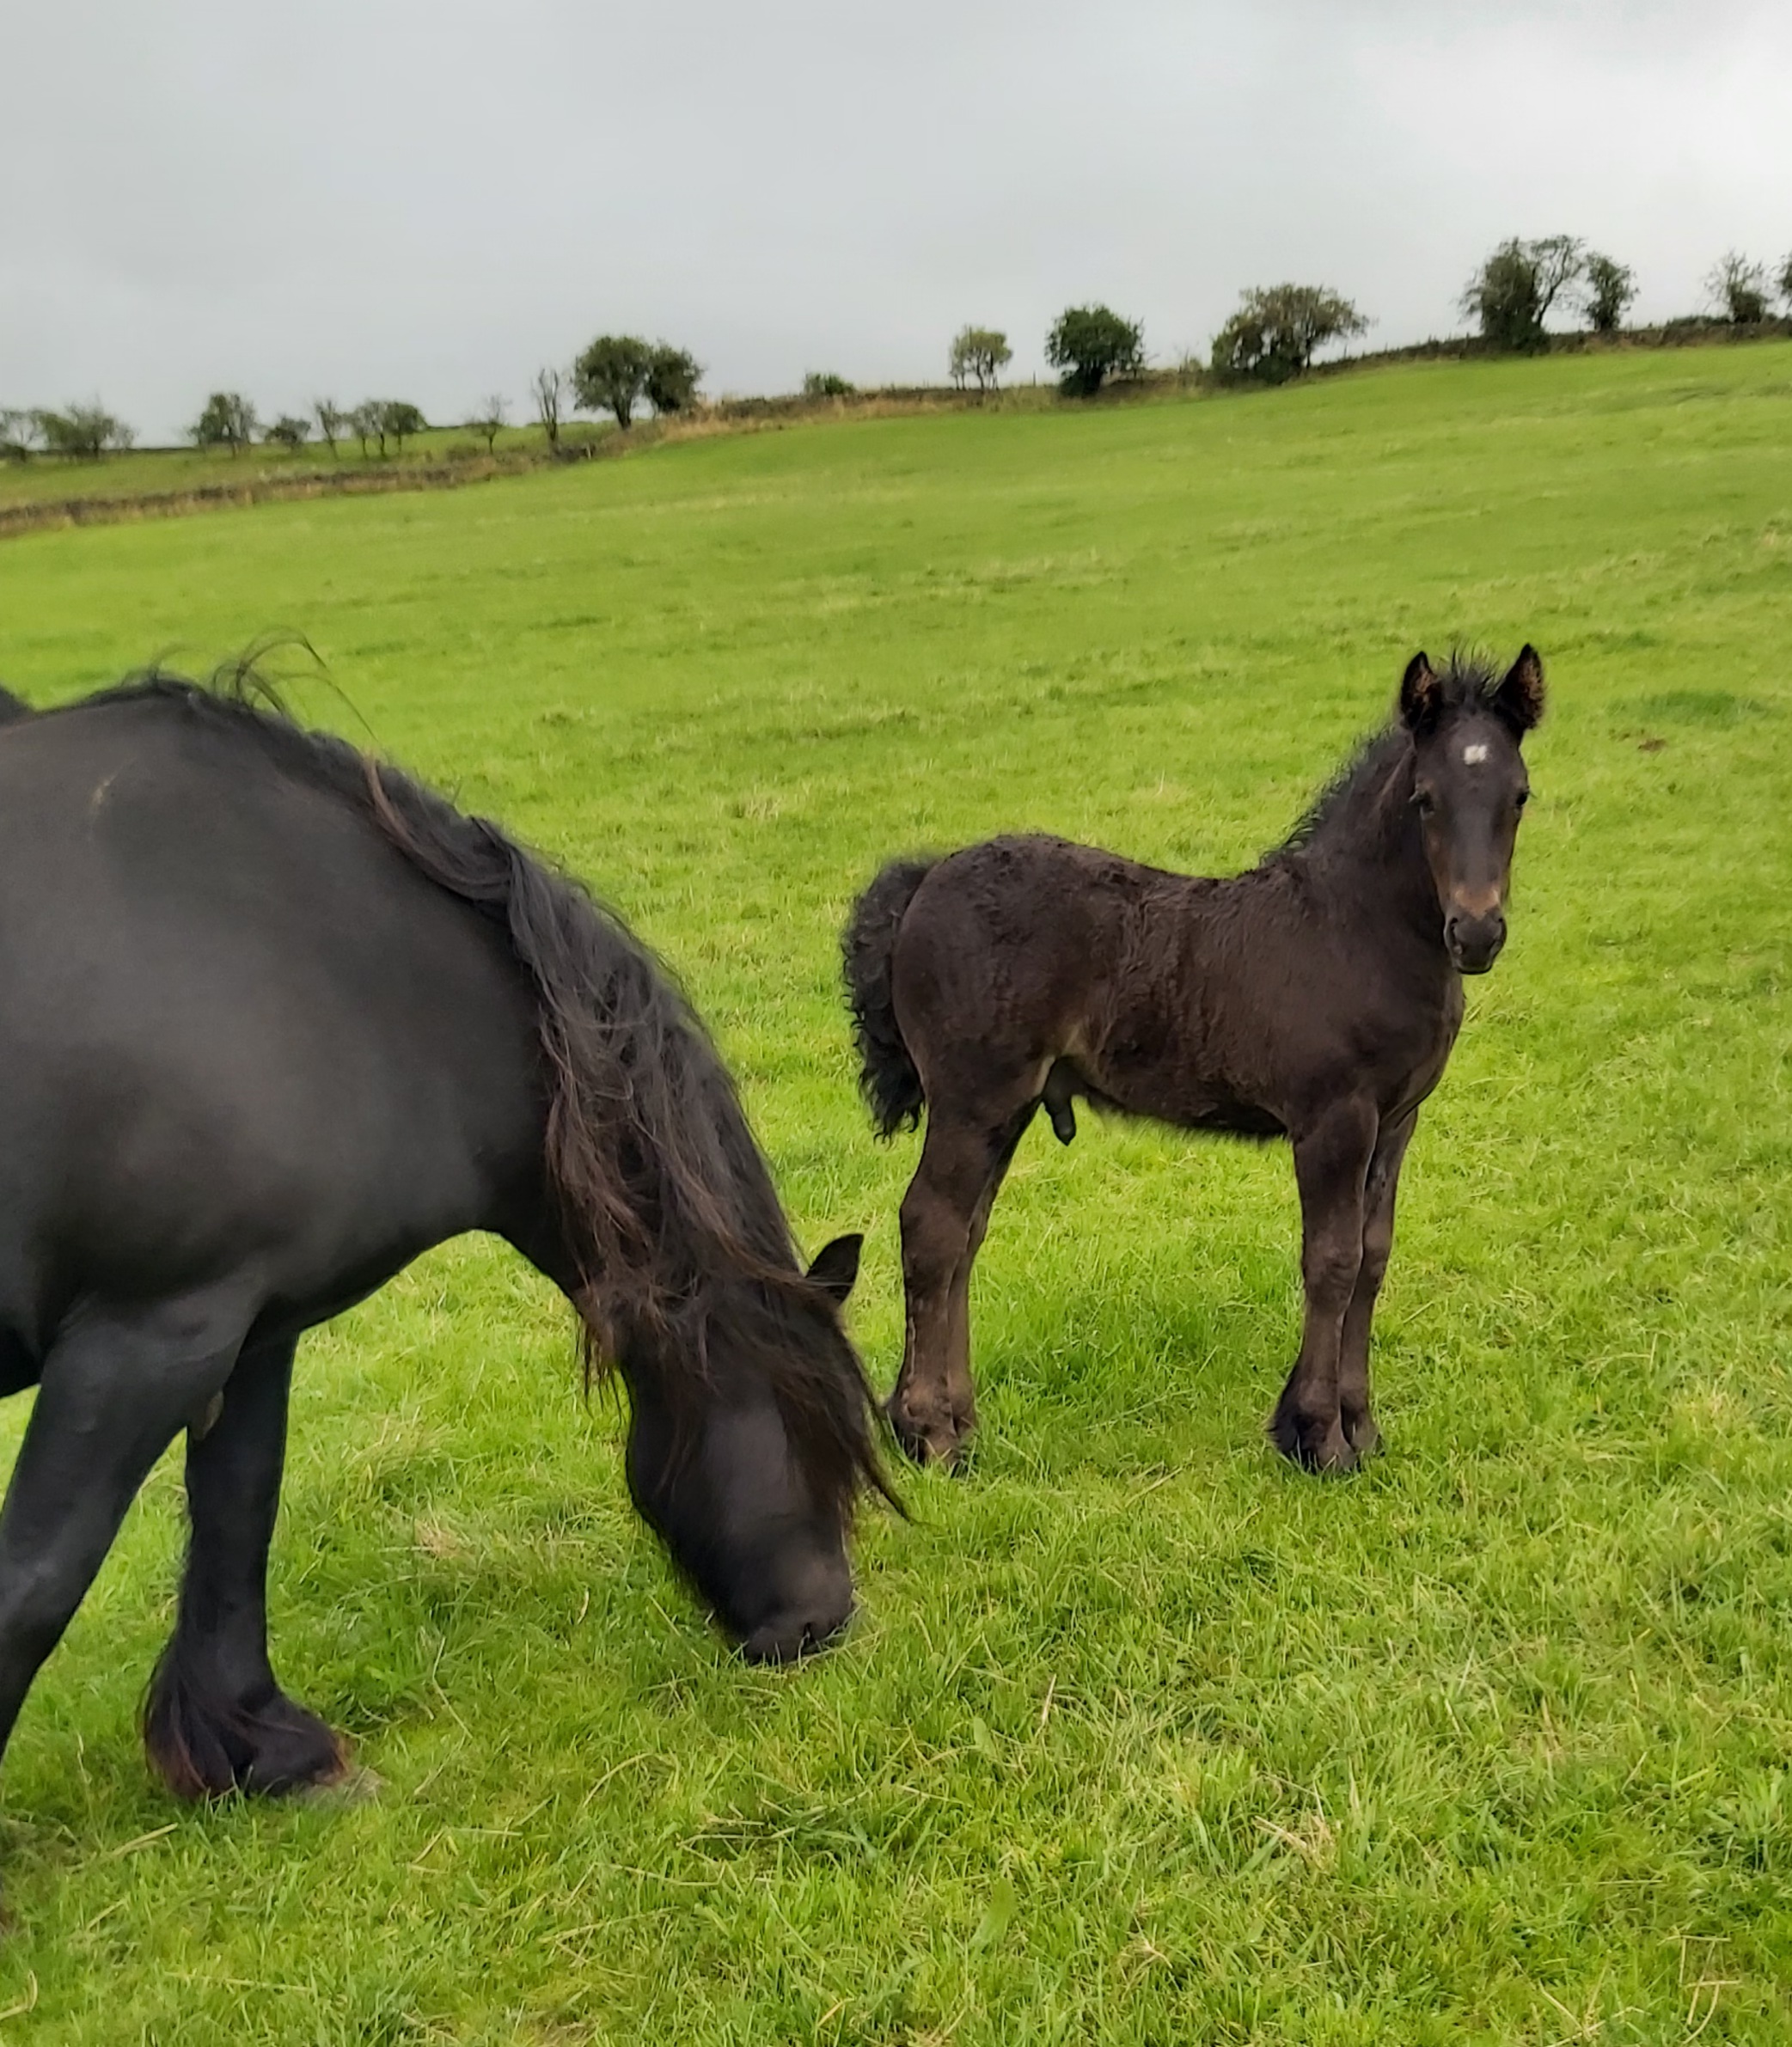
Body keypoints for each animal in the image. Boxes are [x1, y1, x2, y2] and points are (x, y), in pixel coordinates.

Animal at [0, 667, 884, 1793]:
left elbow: (238, 1513)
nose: (823, 1623)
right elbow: (34, 1585)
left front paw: (264, 1747)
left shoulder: (246, 1324)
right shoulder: (143, 1335)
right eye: (807, 1425)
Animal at [847, 651, 1548, 1474]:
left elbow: (1373, 1258)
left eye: (1518, 795)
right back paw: (927, 1433)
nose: (1475, 932)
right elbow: (1331, 1260)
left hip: (1005, 1107)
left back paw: (956, 1424)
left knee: (964, 1234)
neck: (1356, 930)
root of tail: (924, 881)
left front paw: (1361, 1428)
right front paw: (1317, 1438)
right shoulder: (1332, 1118)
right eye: (1425, 799)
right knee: (930, 1228)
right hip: (971, 1099)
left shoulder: (1398, 1118)